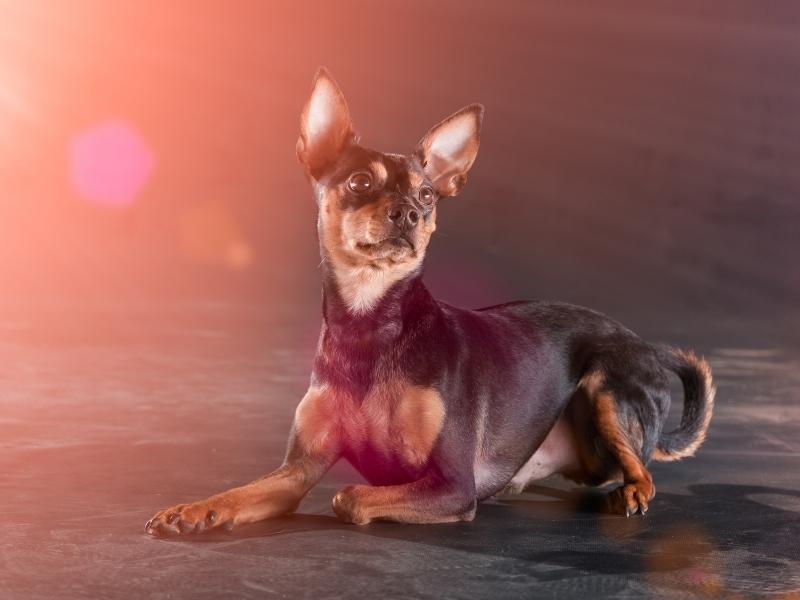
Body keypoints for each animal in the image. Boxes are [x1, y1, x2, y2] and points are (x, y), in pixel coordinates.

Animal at [147, 67, 716, 536]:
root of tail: (642, 344)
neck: (369, 323)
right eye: (360, 182)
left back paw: (633, 491)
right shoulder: (296, 472)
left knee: (641, 469)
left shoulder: (453, 485)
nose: (408, 213)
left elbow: (348, 498)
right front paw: (193, 510)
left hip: (605, 387)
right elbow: (243, 492)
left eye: (426, 196)